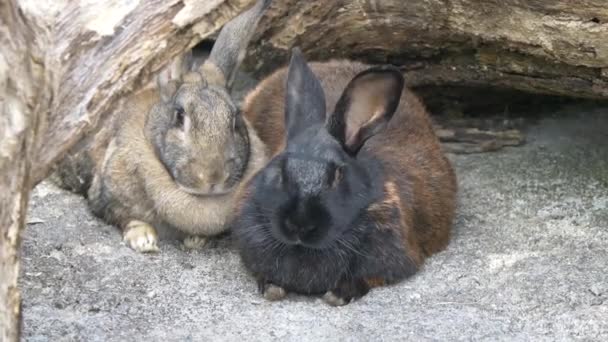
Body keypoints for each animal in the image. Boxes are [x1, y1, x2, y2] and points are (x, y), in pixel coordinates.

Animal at [54, 0, 270, 251]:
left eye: (235, 119)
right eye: (179, 117)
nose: (214, 178)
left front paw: (196, 240)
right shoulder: (105, 194)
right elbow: (123, 216)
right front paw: (143, 240)